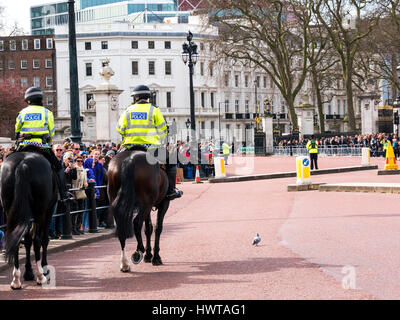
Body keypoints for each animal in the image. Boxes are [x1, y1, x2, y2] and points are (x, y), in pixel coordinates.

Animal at [0, 146, 57, 288]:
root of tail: (23, 164)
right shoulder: (49, 210)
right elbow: (43, 239)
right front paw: (44, 269)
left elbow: (26, 240)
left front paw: (28, 272)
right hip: (40, 212)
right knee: (37, 240)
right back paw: (41, 277)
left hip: (10, 211)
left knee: (14, 238)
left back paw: (16, 280)